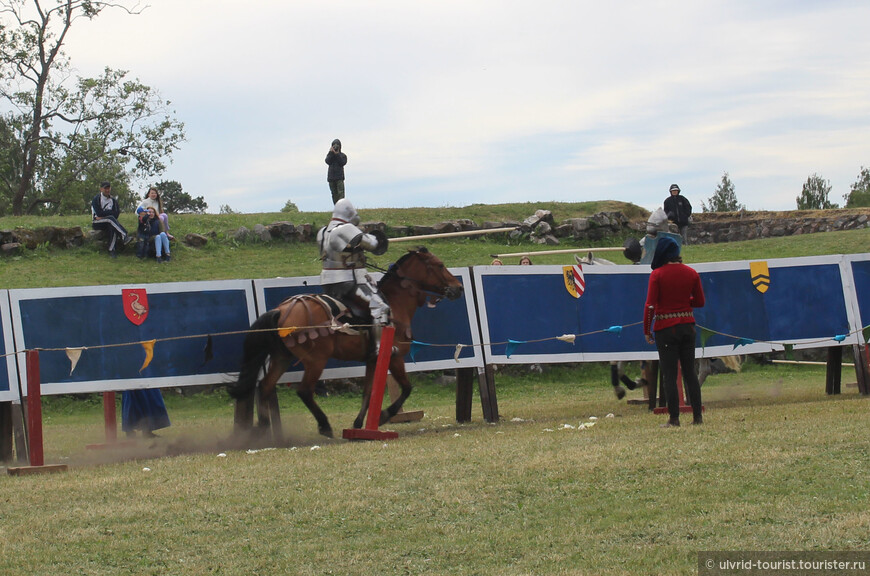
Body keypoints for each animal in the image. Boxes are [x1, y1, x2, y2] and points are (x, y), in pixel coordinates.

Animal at [228, 245, 466, 438]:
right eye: (440, 265)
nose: (459, 288)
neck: (395, 303)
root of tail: (282, 310)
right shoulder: (395, 357)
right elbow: (407, 388)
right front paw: (383, 416)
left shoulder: (372, 361)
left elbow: (368, 392)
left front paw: (359, 423)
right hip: (316, 360)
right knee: (303, 391)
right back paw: (324, 426)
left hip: (282, 357)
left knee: (265, 387)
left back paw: (262, 428)